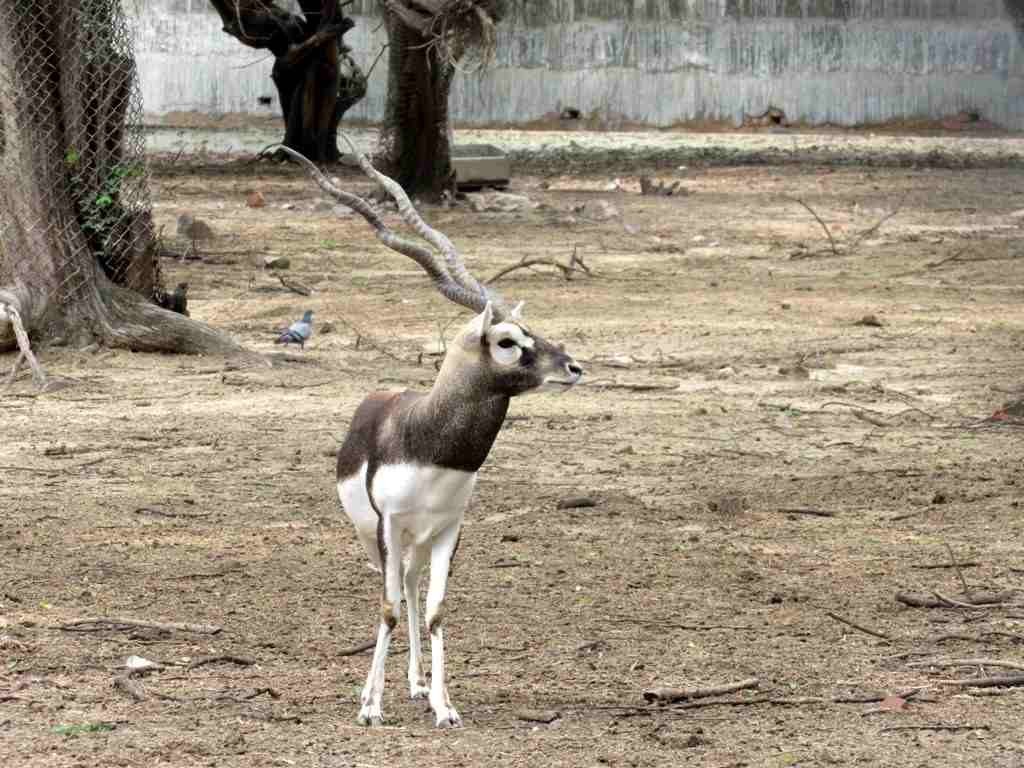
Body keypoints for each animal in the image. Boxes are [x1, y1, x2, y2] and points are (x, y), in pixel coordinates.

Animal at [280, 143, 585, 729]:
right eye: (507, 341)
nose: (574, 367)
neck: (431, 444)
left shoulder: (448, 530)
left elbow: (436, 609)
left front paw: (445, 705)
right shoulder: (389, 525)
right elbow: (387, 608)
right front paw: (370, 707)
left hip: (419, 542)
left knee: (413, 587)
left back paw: (419, 684)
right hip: (374, 535)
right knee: (394, 591)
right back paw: (377, 692)